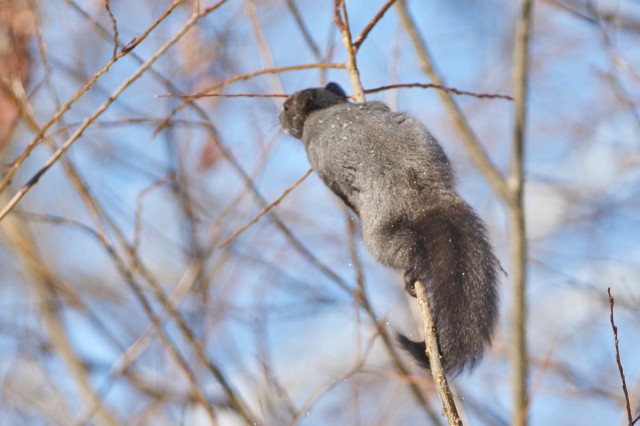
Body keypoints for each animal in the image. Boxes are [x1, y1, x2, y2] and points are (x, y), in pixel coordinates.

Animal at [279, 82, 498, 375]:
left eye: (287, 106)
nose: (279, 117)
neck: (327, 109)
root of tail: (425, 199)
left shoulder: (318, 161)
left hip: (381, 238)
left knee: (408, 248)